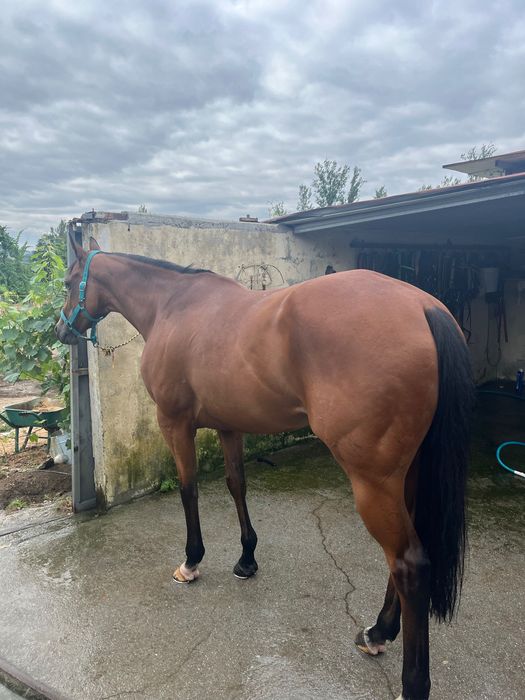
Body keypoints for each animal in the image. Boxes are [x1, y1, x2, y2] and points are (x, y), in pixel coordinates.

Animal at [56, 234, 473, 700]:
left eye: (70, 281)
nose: (60, 330)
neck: (171, 306)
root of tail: (423, 306)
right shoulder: (229, 426)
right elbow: (236, 484)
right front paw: (246, 559)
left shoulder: (175, 423)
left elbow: (188, 488)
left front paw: (192, 561)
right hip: (407, 477)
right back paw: (378, 631)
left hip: (373, 483)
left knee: (408, 564)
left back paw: (410, 680)